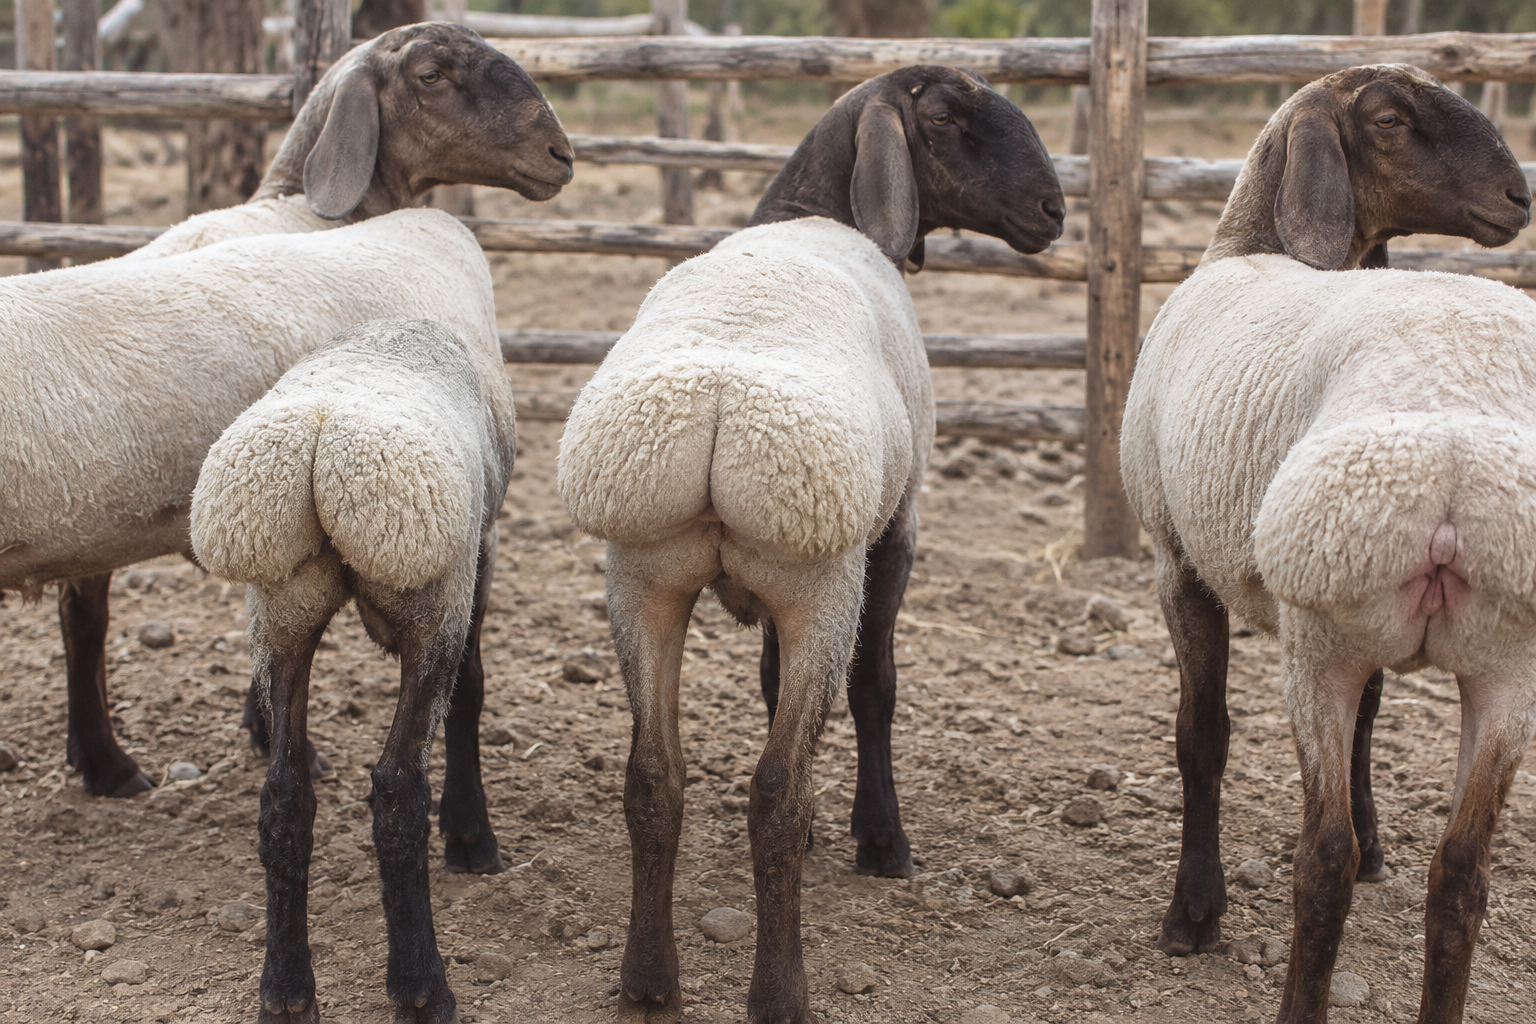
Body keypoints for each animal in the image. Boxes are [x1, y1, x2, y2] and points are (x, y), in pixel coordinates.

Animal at [189, 317, 510, 1024]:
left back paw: (285, 992)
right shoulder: (479, 555)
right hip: (432, 597)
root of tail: (317, 445)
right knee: (396, 787)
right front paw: (471, 839)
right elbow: (471, 692)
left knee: (283, 794)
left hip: (281, 605)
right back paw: (423, 988)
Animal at [557, 66, 1064, 1024]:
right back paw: (780, 989)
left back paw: (648, 981)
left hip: (643, 577)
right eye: (947, 115)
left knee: (653, 778)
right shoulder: (894, 530)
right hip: (822, 581)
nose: (1053, 211)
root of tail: (717, 411)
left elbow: (763, 683)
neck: (813, 212)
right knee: (776, 789)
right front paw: (879, 840)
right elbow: (876, 687)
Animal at [1121, 64, 1533, 1023]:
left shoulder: (1176, 561)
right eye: (1388, 120)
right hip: (1506, 662)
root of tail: (1452, 461)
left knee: (1323, 861)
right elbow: (1373, 723)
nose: (1520, 196)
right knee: (1462, 872)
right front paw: (1382, 841)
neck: (1247, 244)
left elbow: (1201, 734)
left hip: (1318, 639)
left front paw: (1193, 913)